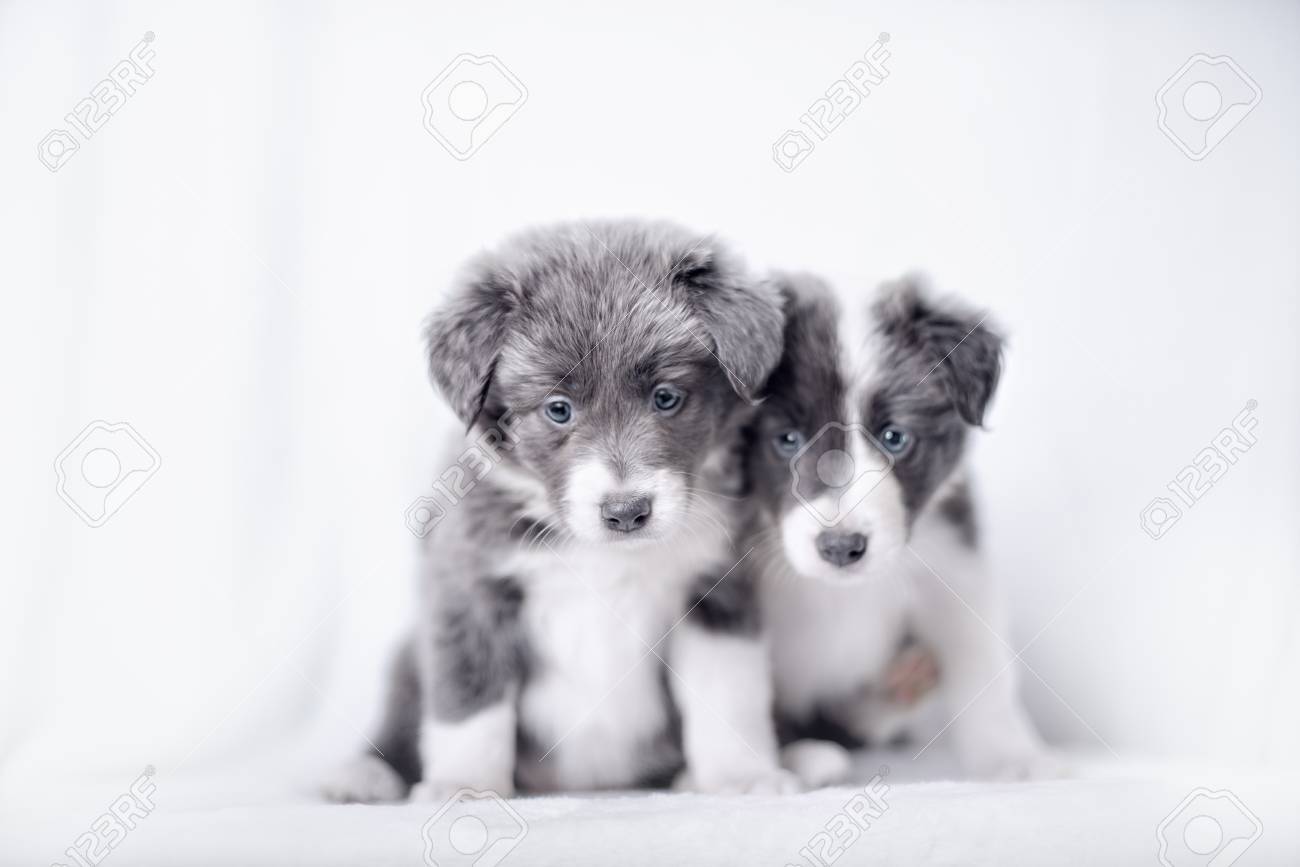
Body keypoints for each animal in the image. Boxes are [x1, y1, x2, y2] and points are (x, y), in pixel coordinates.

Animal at [325, 220, 790, 805]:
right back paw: (365, 774)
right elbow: (470, 704)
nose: (626, 512)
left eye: (666, 398)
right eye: (558, 409)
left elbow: (728, 697)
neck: (604, 555)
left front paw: (738, 777)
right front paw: (464, 787)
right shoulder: (469, 591)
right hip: (408, 658)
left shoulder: (716, 595)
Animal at [754, 274, 1055, 785]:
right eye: (787, 440)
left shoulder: (955, 568)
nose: (841, 547)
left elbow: (984, 669)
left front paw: (1013, 758)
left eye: (894, 437)